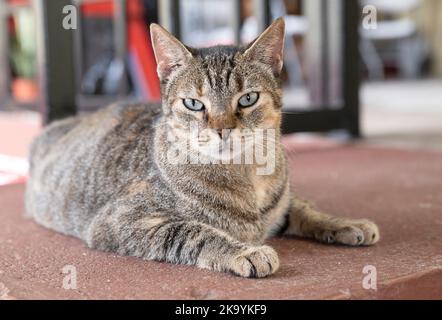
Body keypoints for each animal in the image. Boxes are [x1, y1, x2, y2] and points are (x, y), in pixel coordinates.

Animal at [24, 18, 378, 278]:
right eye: (194, 104)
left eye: (248, 99)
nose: (222, 129)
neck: (247, 178)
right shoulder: (123, 220)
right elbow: (193, 231)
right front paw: (246, 251)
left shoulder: (281, 203)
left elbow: (304, 208)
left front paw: (343, 223)